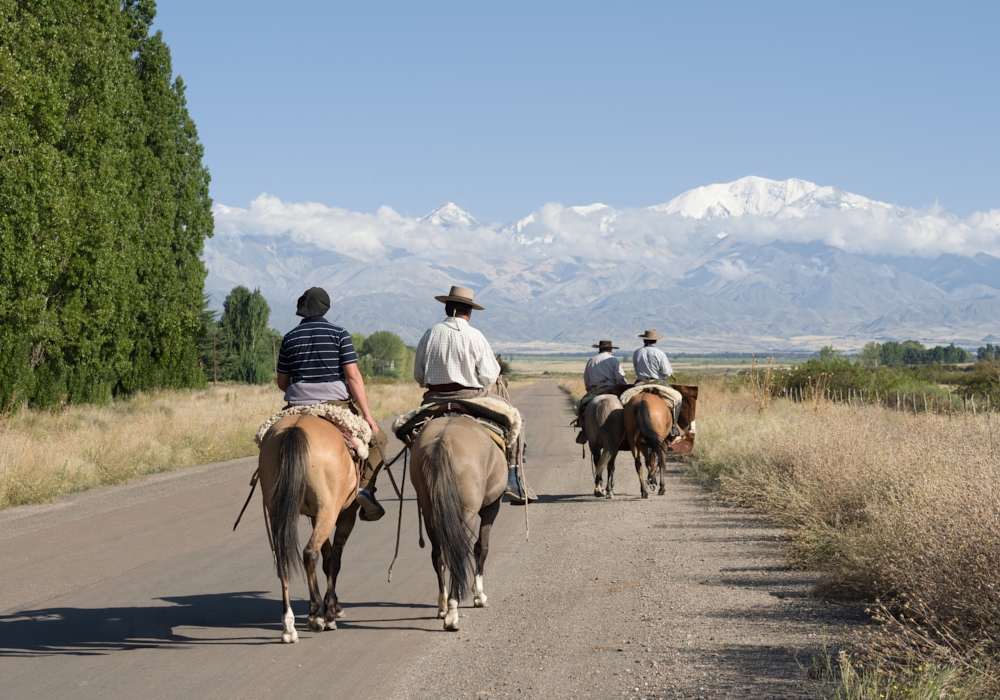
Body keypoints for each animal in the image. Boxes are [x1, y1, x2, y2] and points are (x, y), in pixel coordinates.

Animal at [258, 416, 364, 644]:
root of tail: (295, 428)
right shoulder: (346, 514)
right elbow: (334, 560)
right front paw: (331, 610)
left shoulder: (316, 516)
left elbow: (328, 557)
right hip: (328, 511)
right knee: (310, 553)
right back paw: (316, 616)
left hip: (278, 511)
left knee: (283, 559)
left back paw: (289, 626)